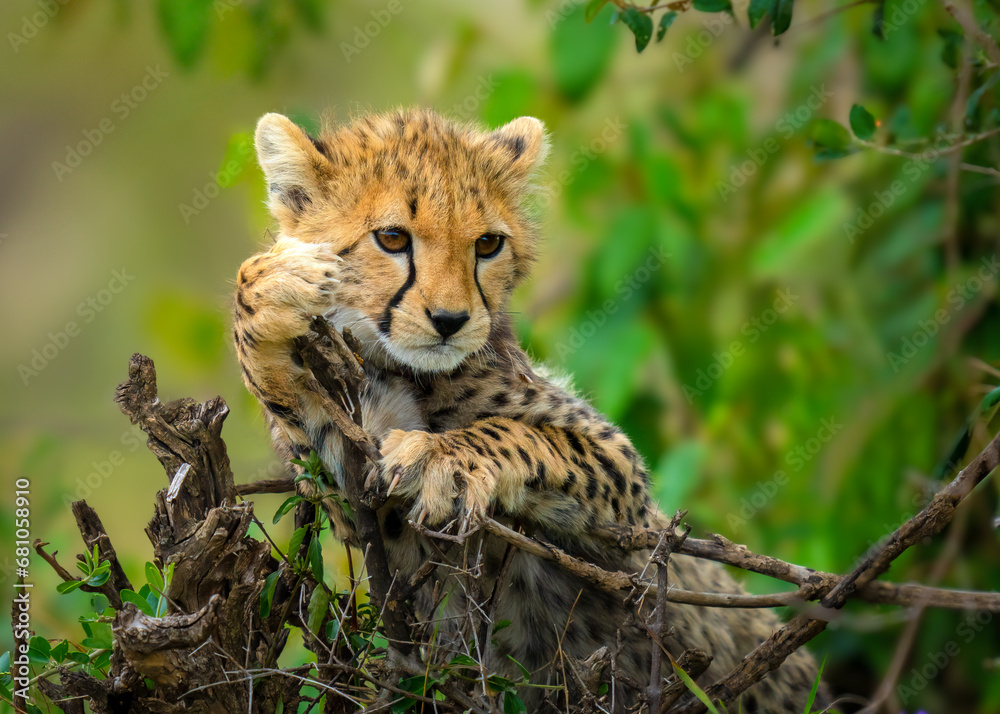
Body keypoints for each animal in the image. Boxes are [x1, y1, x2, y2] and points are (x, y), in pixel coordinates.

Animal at [233, 108, 825, 712]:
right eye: (392, 237)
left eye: (488, 244)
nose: (450, 320)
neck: (406, 371)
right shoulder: (362, 505)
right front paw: (273, 287)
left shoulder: (625, 491)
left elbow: (520, 435)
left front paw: (443, 458)